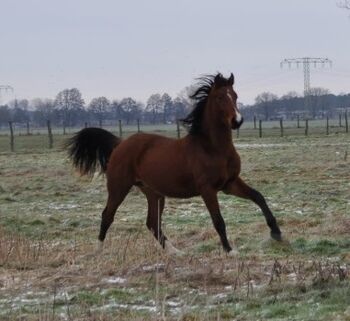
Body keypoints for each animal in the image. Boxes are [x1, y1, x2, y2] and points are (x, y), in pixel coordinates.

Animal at [66, 73, 282, 255]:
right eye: (220, 97)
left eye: (235, 96)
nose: (237, 120)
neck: (212, 148)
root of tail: (120, 144)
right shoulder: (207, 189)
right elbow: (218, 220)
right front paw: (230, 251)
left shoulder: (230, 184)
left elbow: (259, 197)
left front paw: (277, 234)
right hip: (119, 187)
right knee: (107, 215)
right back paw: (98, 250)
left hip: (154, 193)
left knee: (152, 222)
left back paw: (175, 252)